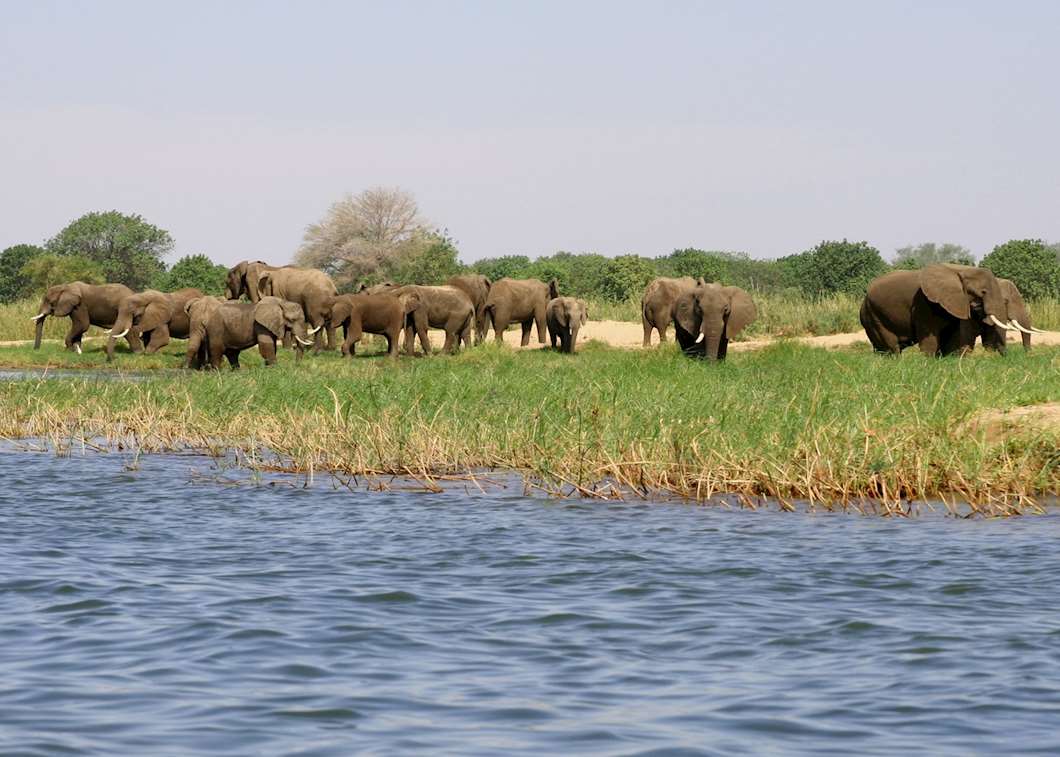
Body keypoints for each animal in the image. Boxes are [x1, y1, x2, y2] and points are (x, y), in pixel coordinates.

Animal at [856, 263, 1030, 356]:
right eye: (983, 292)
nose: (1026, 356)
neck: (960, 270)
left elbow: (954, 338)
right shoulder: (923, 302)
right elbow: (931, 340)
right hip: (873, 314)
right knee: (891, 348)